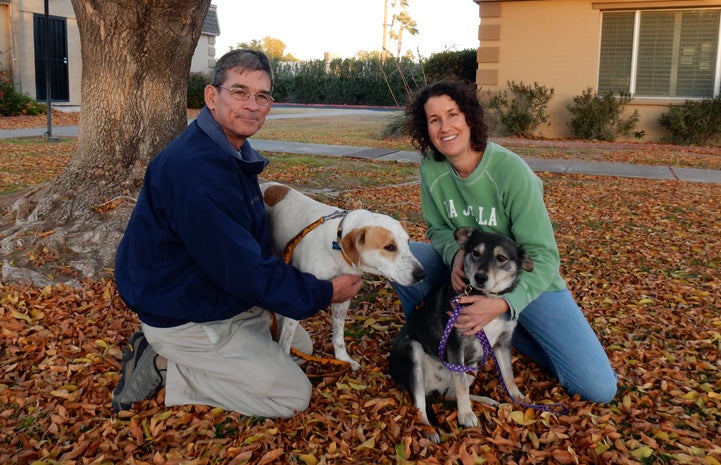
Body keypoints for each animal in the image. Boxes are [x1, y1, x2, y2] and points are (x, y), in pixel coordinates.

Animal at [260, 181, 424, 370]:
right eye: (389, 247)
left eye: (408, 242)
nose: (422, 274)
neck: (336, 248)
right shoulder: (298, 298)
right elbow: (286, 341)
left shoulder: (343, 297)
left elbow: (338, 335)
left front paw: (343, 358)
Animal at [390, 227, 532, 442]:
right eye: (476, 253)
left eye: (501, 258)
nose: (480, 277)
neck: (485, 297)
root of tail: (433, 386)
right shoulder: (455, 345)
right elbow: (461, 385)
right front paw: (465, 414)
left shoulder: (502, 344)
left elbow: (508, 374)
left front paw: (516, 396)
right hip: (413, 352)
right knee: (419, 405)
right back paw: (428, 429)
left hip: (473, 365)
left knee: (450, 394)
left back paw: (485, 400)